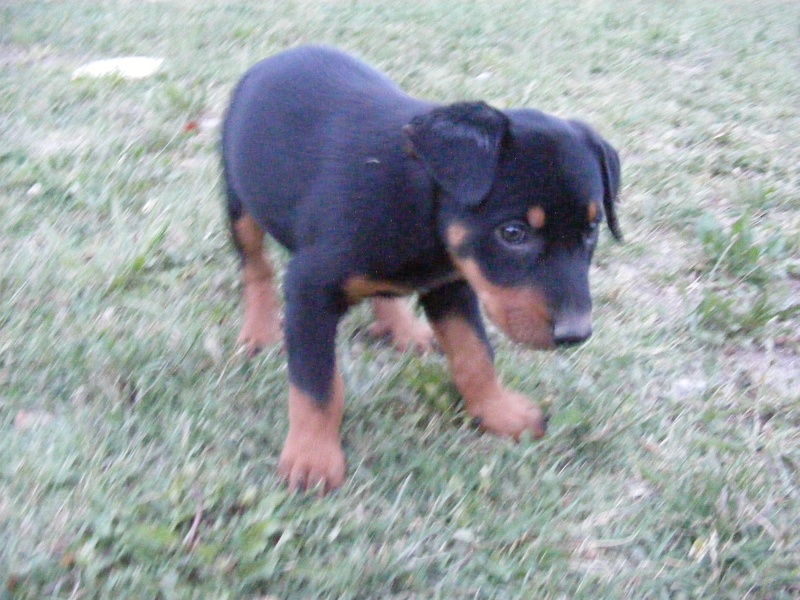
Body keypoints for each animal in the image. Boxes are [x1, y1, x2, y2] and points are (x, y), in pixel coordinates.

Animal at [222, 45, 620, 492]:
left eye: (592, 230)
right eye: (513, 233)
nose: (576, 334)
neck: (419, 203)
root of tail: (276, 58)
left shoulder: (452, 285)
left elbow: (474, 354)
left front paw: (498, 410)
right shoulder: (309, 292)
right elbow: (316, 384)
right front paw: (312, 457)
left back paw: (403, 328)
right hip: (238, 202)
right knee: (255, 267)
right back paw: (259, 329)